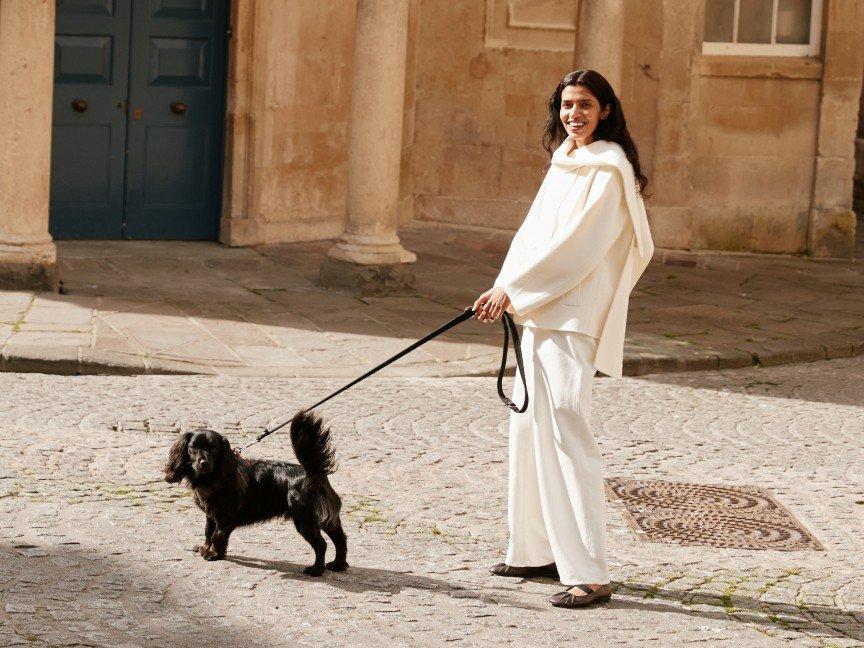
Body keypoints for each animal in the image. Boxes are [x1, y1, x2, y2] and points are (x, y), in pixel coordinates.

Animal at [164, 412, 346, 576]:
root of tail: (313, 473)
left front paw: (213, 554)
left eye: (213, 448)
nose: (204, 463)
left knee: (321, 544)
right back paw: (338, 565)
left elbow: (217, 535)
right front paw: (206, 548)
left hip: (305, 519)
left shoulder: (225, 517)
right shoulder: (211, 514)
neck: (214, 477)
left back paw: (316, 570)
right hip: (327, 519)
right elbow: (208, 532)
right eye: (193, 448)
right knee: (341, 539)